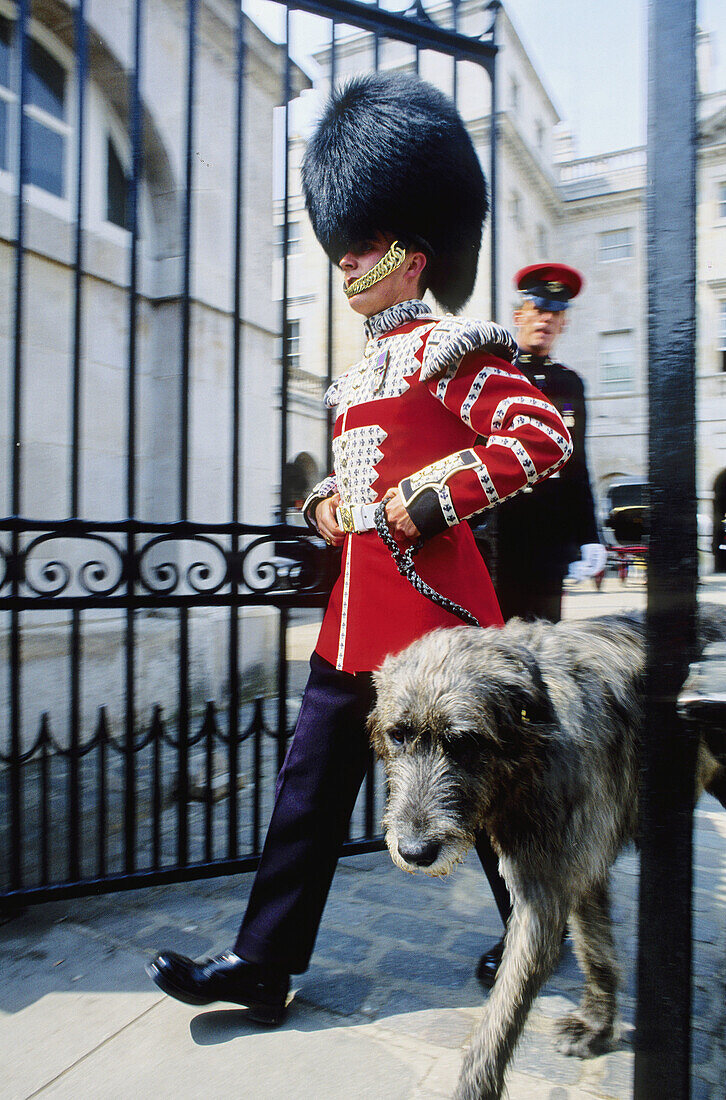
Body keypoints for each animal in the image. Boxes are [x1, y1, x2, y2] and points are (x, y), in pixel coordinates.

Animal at [369, 611, 726, 1100]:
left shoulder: (546, 887)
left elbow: (504, 1009)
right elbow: (595, 948)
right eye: (398, 735)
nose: (415, 851)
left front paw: (476, 1083)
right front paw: (597, 1026)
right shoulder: (575, 866)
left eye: (464, 742)